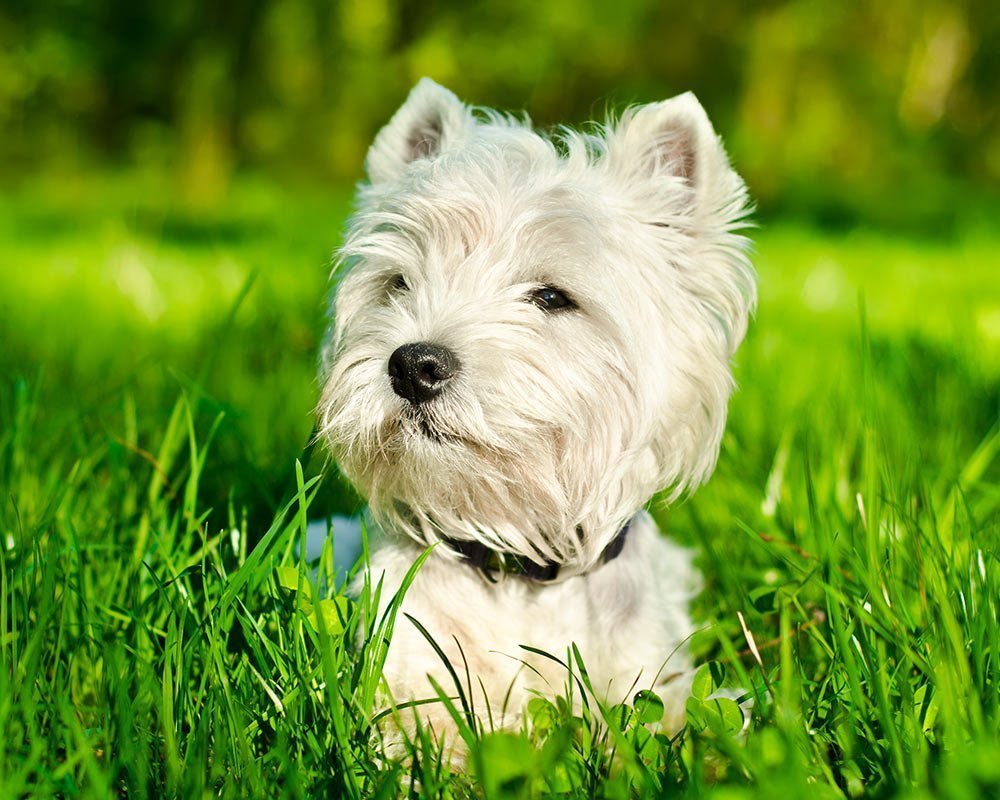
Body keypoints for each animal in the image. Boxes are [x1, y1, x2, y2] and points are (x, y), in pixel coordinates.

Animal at [316, 78, 752, 752]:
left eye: (551, 297)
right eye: (400, 283)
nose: (413, 365)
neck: (519, 561)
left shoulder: (649, 675)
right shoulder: (406, 669)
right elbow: (426, 729)